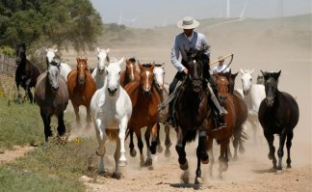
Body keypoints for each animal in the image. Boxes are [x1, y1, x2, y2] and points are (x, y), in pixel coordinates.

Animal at [173, 49, 210, 186]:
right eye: (188, 66)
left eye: (201, 66)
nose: (196, 85)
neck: (193, 101)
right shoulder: (181, 126)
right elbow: (178, 146)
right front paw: (183, 163)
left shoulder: (203, 123)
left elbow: (201, 148)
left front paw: (205, 157)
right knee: (182, 146)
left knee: (199, 149)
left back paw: (198, 175)